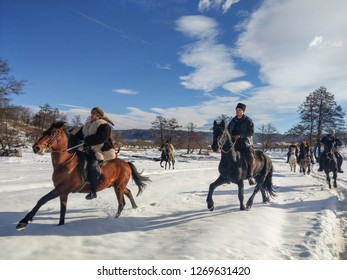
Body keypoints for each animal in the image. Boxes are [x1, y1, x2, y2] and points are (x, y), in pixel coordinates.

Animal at [16, 121, 151, 231]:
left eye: (53, 133)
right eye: (44, 132)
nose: (36, 147)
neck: (65, 163)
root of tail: (126, 163)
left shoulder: (62, 188)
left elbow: (42, 200)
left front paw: (23, 222)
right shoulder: (63, 192)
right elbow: (62, 211)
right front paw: (60, 225)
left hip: (118, 186)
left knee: (121, 203)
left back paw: (116, 218)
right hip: (117, 185)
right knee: (128, 193)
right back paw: (135, 207)